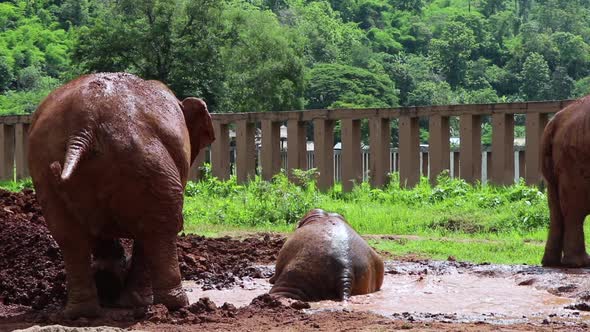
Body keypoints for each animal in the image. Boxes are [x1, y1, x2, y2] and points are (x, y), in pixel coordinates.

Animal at [27, 72, 216, 316]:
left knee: (68, 235)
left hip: (44, 165)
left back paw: (82, 312)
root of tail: (85, 124)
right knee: (160, 226)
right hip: (145, 160)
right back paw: (172, 305)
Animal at [544, 95, 590, 268]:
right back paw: (578, 263)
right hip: (575, 160)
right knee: (574, 210)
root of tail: (555, 121)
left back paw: (551, 263)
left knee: (555, 208)